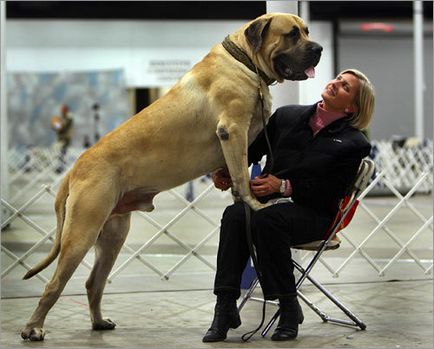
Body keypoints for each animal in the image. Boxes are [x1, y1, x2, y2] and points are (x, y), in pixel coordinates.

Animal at [21, 12, 322, 340]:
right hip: (81, 233)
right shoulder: (233, 131)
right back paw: (33, 328)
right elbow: (242, 177)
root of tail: (76, 167)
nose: (319, 48)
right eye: (292, 34)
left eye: (307, 31)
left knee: (94, 282)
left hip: (112, 235)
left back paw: (98, 321)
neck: (244, 61)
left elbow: (236, 175)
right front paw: (254, 204)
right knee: (54, 284)